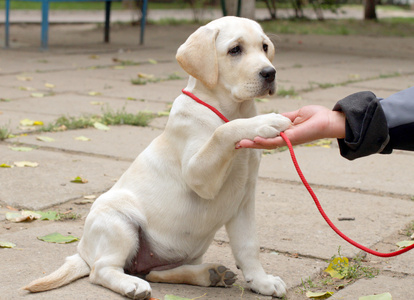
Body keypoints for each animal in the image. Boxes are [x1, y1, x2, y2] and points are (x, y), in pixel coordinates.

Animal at [24, 17, 290, 300]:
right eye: (235, 50)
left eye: (264, 47)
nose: (270, 73)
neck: (230, 109)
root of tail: (83, 252)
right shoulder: (198, 175)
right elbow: (223, 131)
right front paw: (265, 121)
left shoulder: (244, 200)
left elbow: (248, 245)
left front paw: (262, 281)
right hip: (120, 223)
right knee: (102, 270)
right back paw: (132, 285)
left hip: (186, 250)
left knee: (155, 272)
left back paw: (208, 274)